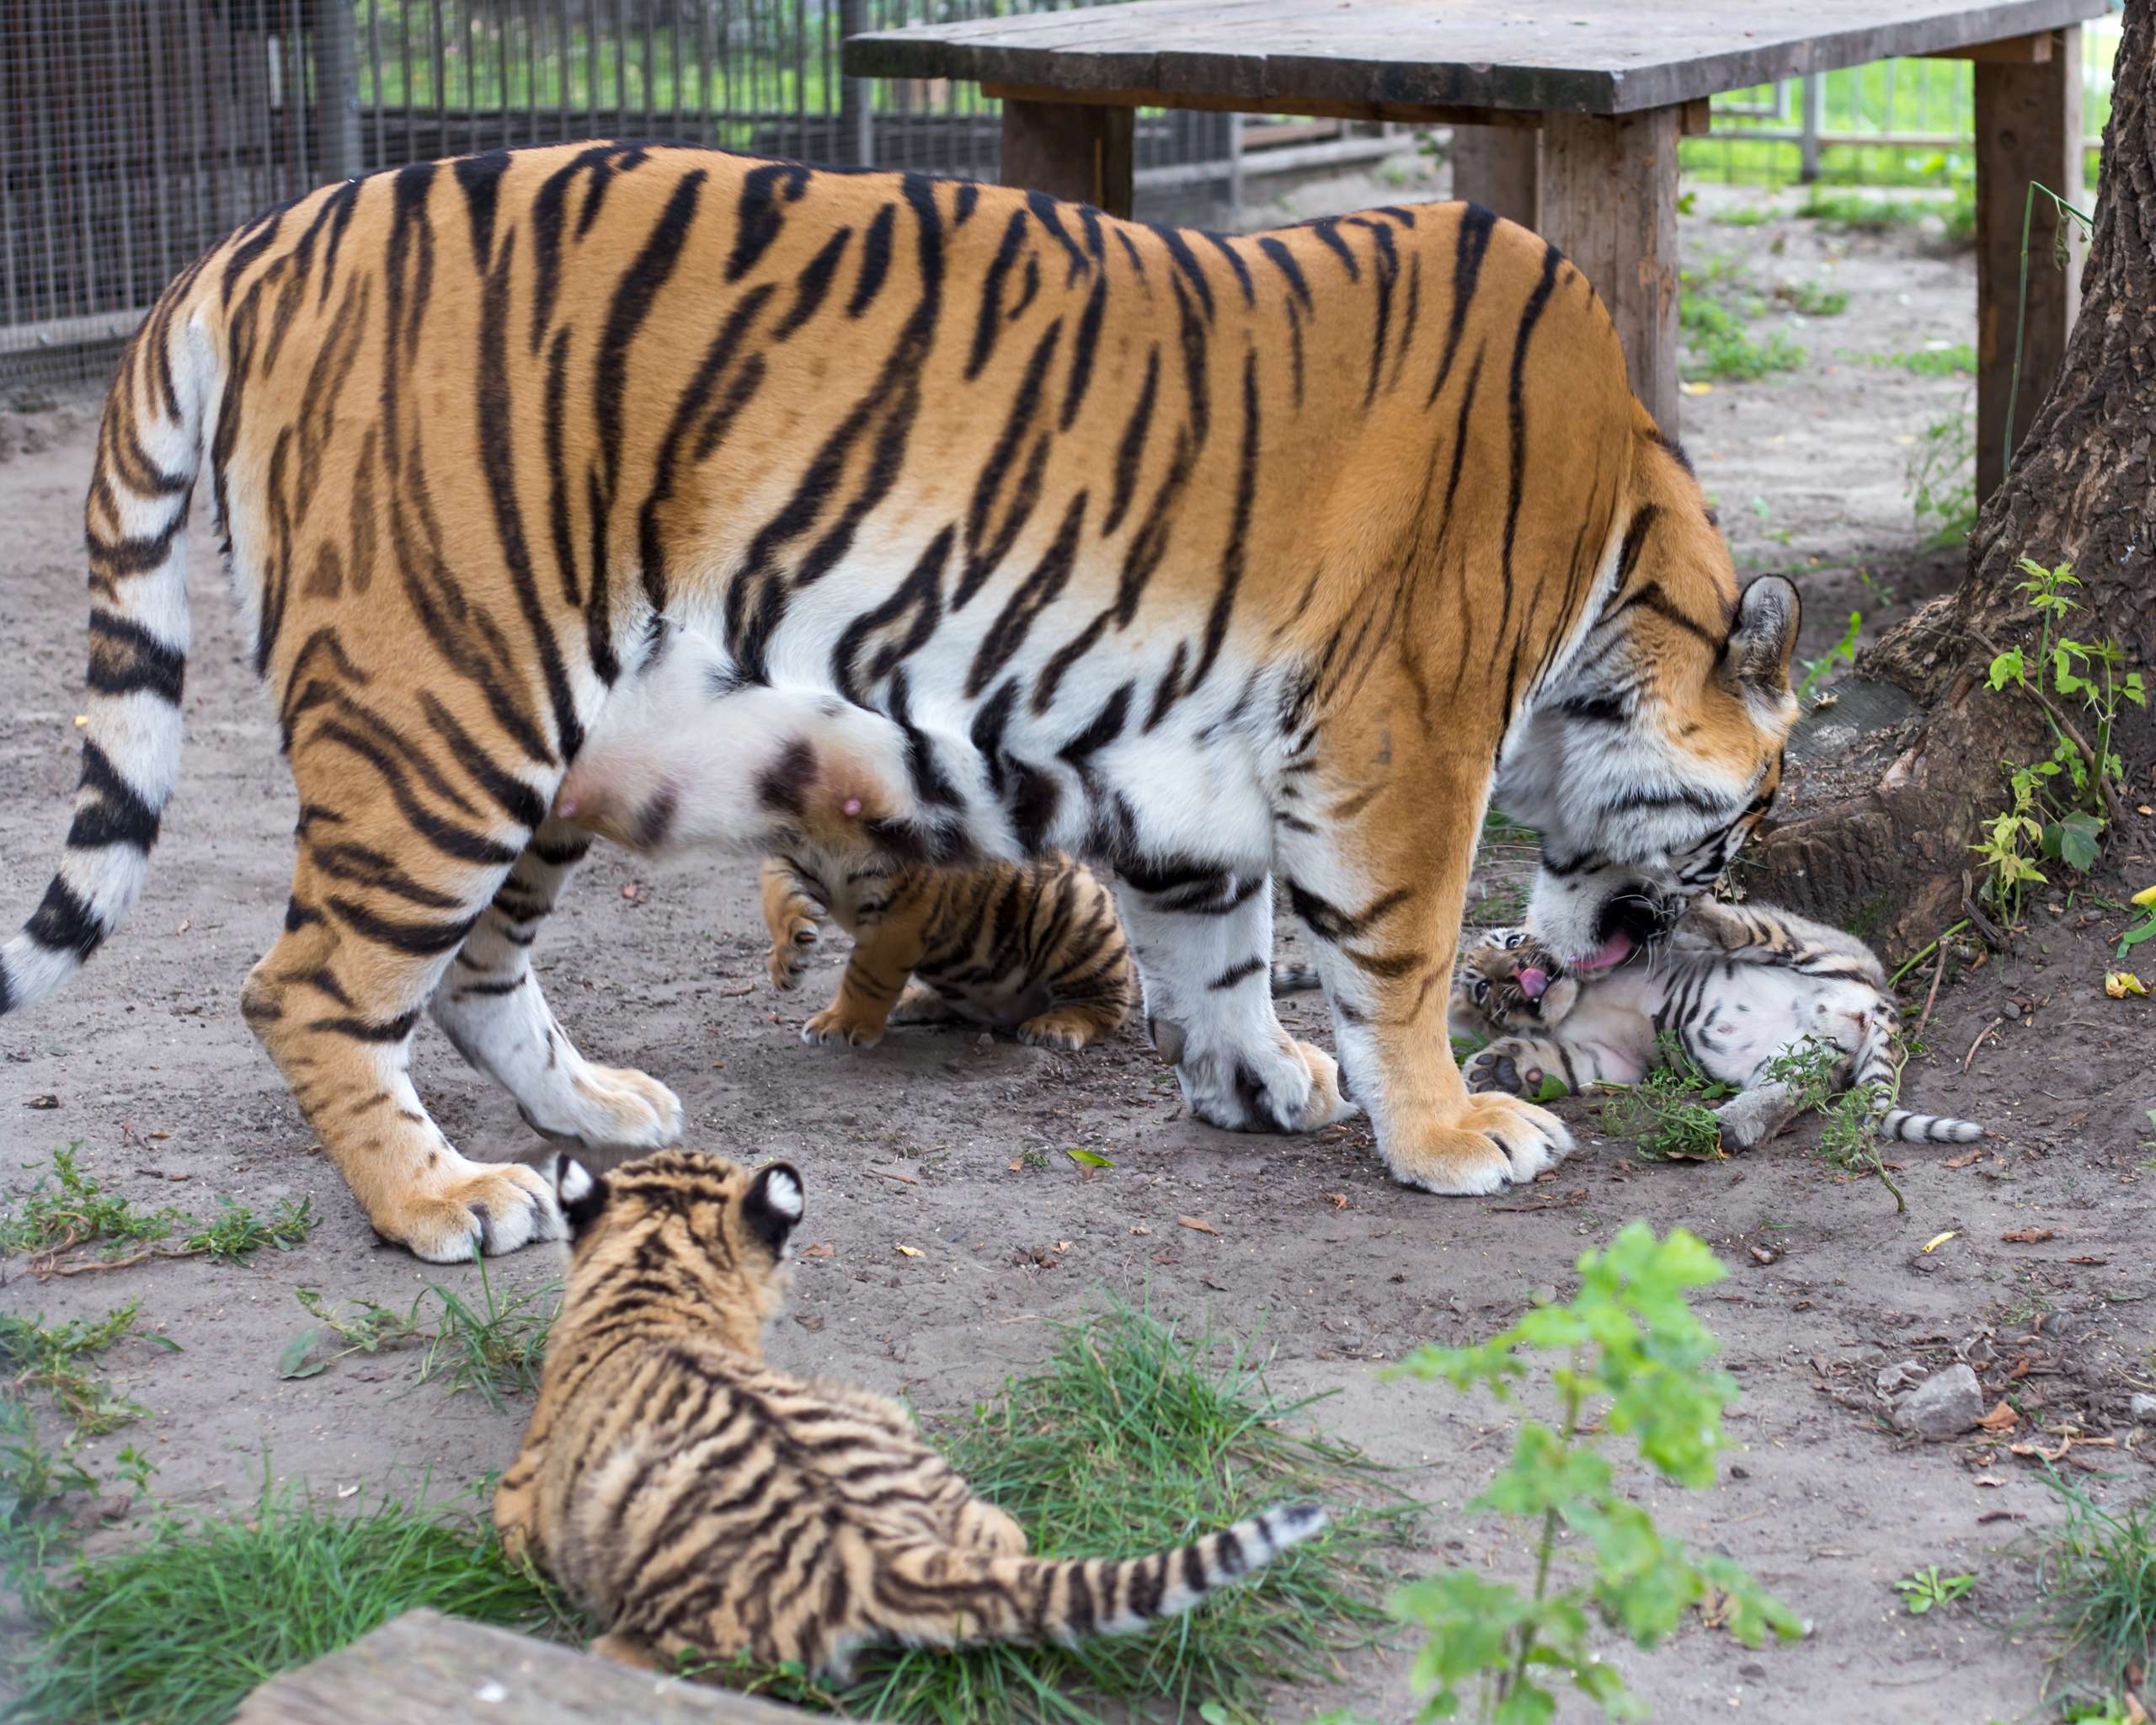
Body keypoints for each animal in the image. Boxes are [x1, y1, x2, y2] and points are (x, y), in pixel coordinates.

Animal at [0, 141, 1802, 1259]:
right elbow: (1399, 955)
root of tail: (250, 242)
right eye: (1738, 830)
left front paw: (1256, 1083)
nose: (1710, 912)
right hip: (443, 702)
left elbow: (1217, 941)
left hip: (540, 740)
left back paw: (598, 1107)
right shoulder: (1403, 740)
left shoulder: (1194, 760)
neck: (1625, 552)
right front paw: (1443, 1131)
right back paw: (444, 1201)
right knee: (311, 983)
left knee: (468, 974)